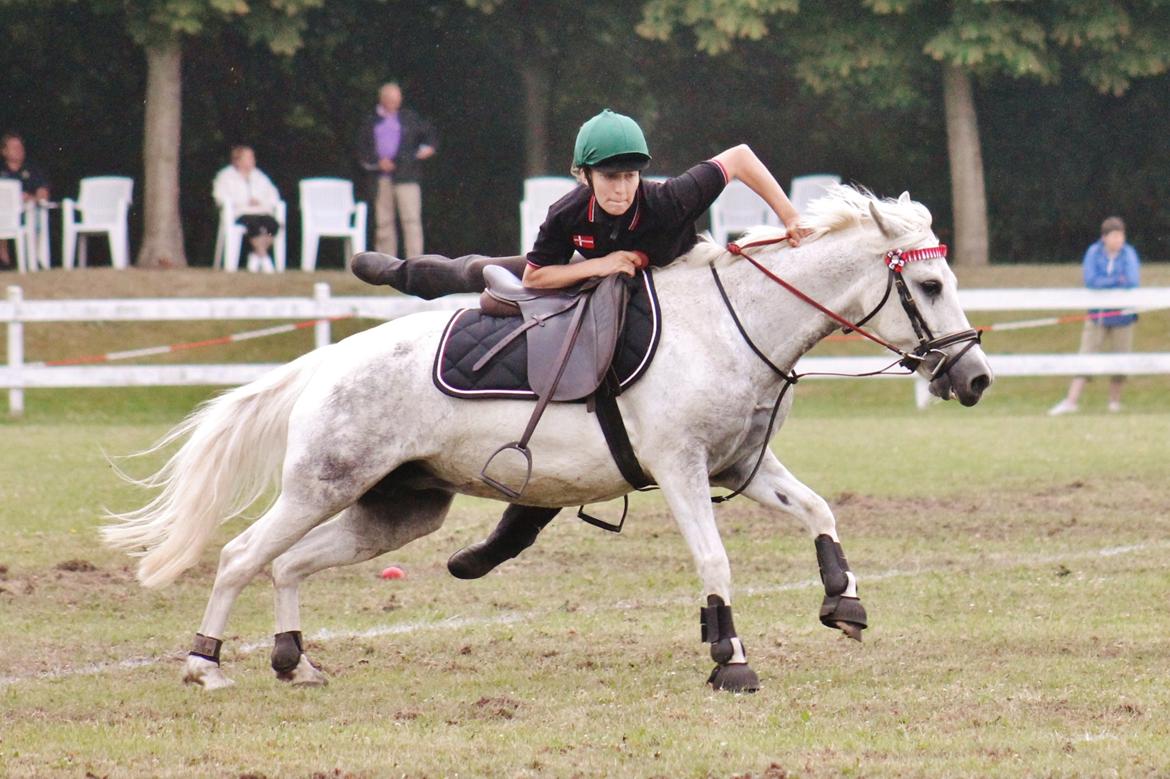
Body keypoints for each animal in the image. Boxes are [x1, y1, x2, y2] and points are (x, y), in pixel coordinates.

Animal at [105, 184, 992, 687]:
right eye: (929, 283)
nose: (976, 377)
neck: (731, 323)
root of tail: (325, 360)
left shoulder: (743, 462)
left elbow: (817, 511)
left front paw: (844, 600)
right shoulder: (679, 466)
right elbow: (715, 560)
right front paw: (730, 656)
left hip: (398, 507)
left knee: (286, 563)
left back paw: (295, 658)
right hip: (323, 481)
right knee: (239, 555)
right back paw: (203, 662)